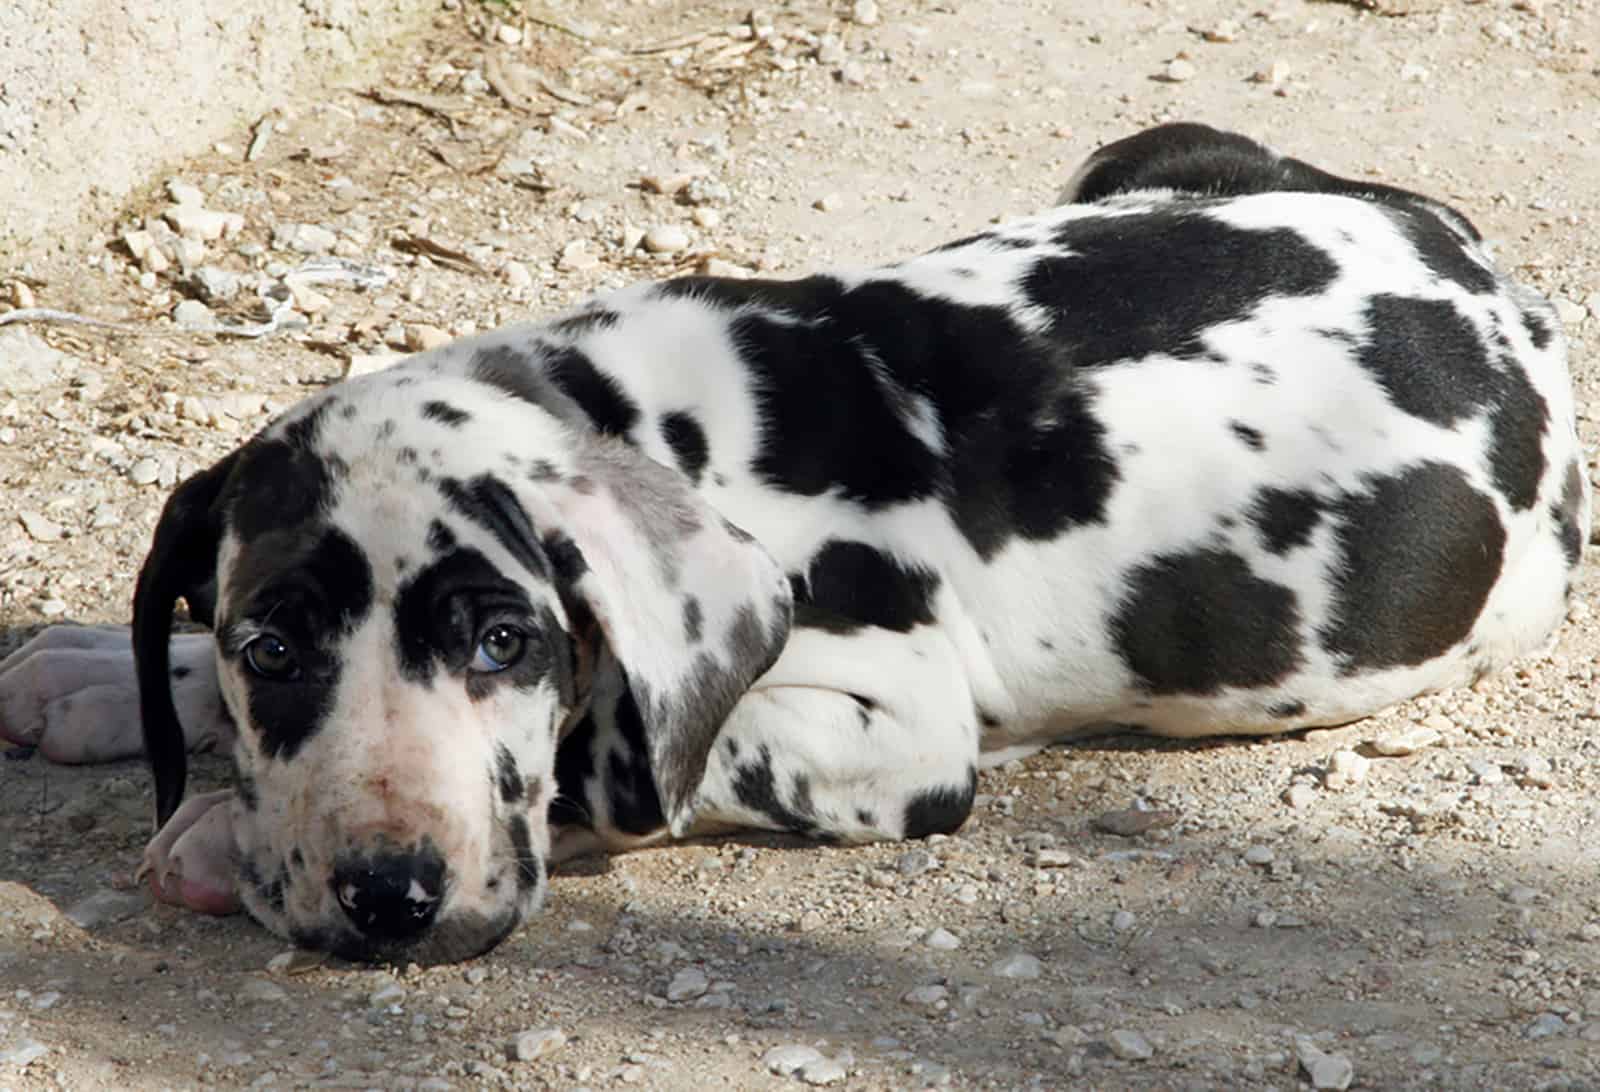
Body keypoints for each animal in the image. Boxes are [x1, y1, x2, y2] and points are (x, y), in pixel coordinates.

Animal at [0, 123, 1587, 960]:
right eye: (269, 643)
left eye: (505, 641)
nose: (390, 897)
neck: (642, 416)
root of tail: (1475, 260)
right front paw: (108, 669)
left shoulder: (895, 728)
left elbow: (627, 759)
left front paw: (221, 830)